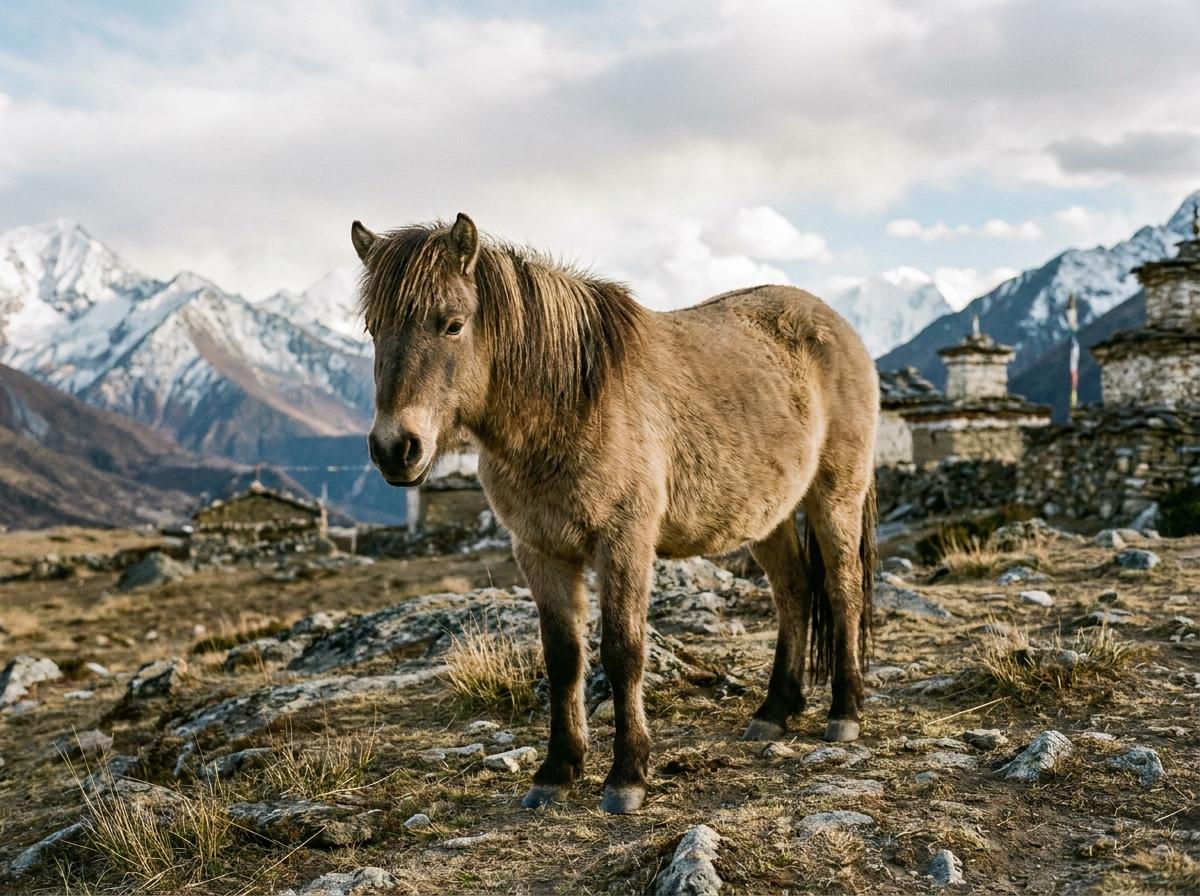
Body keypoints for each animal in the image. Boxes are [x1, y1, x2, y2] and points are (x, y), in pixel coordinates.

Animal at [352, 213, 878, 814]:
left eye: (453, 325)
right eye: (373, 328)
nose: (395, 450)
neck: (568, 407)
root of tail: (836, 324)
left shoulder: (624, 544)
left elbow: (623, 652)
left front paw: (627, 776)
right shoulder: (540, 551)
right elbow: (563, 657)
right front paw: (557, 771)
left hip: (835, 496)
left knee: (842, 589)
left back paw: (844, 712)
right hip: (769, 515)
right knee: (793, 591)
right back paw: (774, 712)